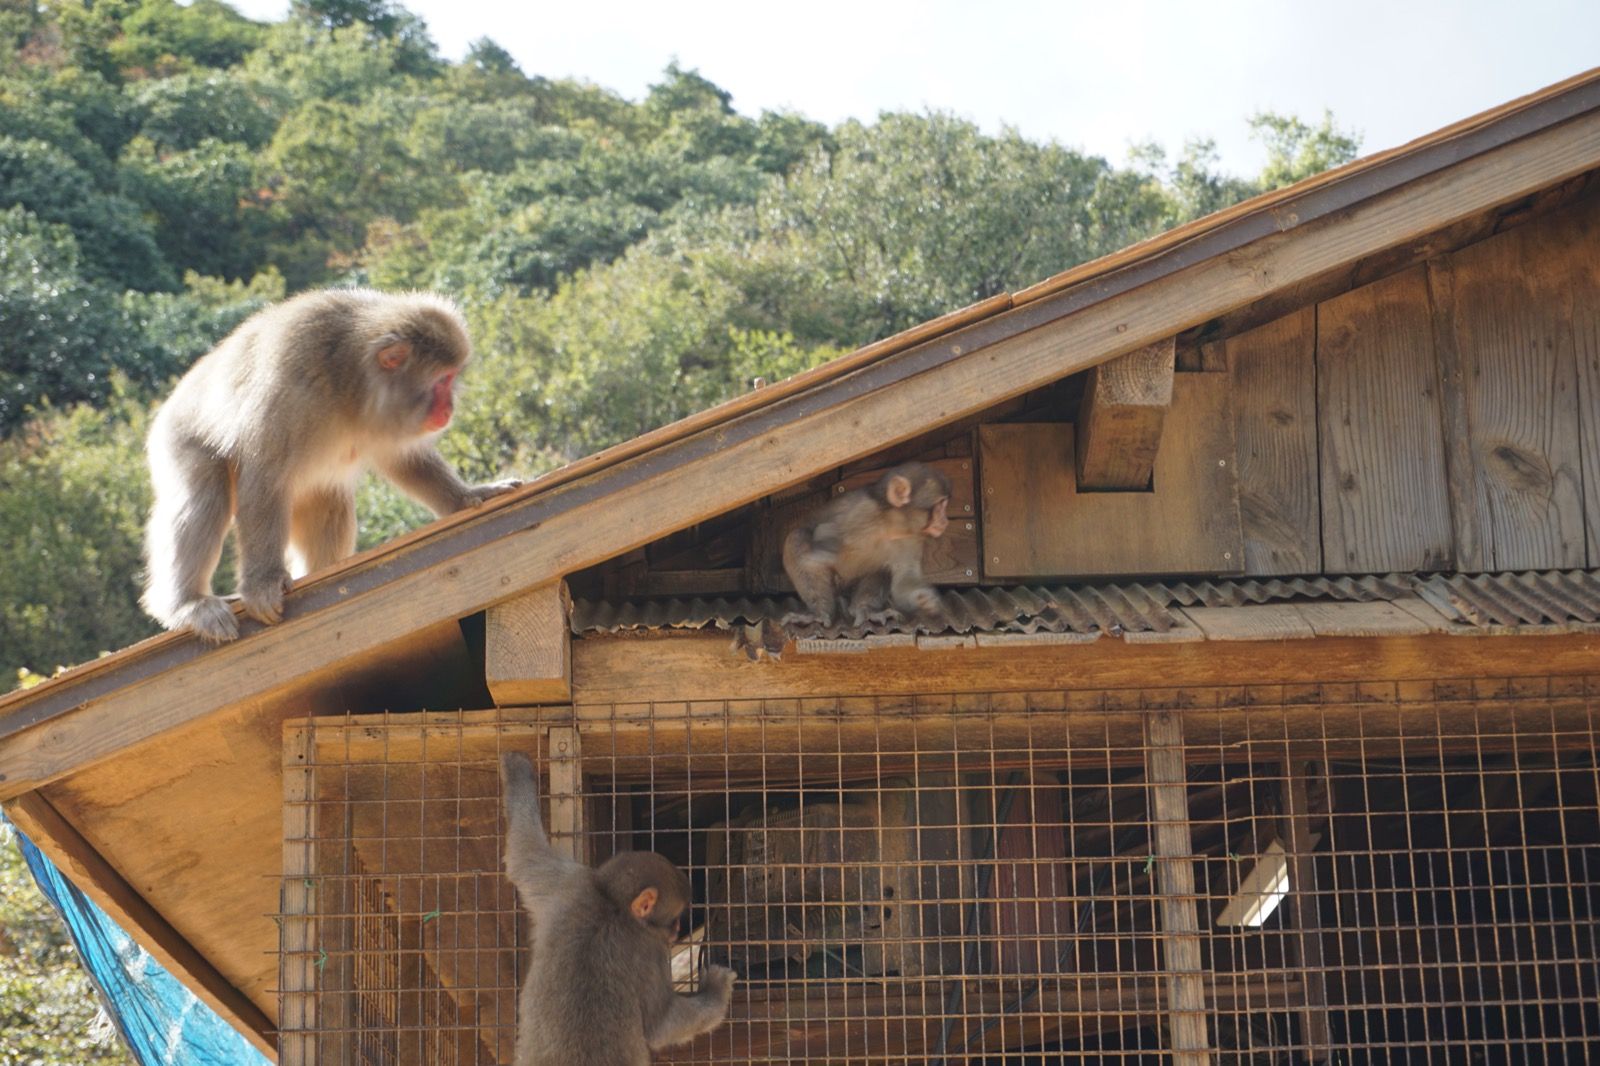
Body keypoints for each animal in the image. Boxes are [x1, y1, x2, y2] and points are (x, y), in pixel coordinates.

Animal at [140, 281, 521, 643]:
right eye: (443, 380)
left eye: (452, 379)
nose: (449, 409)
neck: (350, 380)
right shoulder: (290, 388)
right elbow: (264, 475)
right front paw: (262, 584)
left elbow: (403, 459)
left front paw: (467, 496)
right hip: (178, 437)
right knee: (205, 499)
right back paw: (188, 604)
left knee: (329, 501)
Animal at [499, 752, 736, 1056]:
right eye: (674, 917)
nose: (676, 929)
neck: (612, 904)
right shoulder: (650, 948)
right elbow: (661, 1025)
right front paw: (716, 991)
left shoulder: (572, 884)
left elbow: (525, 856)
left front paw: (517, 771)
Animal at [777, 460, 940, 627]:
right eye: (940, 506)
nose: (943, 521)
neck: (890, 523)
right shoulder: (863, 511)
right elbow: (824, 535)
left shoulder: (910, 538)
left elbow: (904, 577)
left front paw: (924, 599)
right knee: (797, 538)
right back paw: (820, 612)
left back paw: (862, 608)